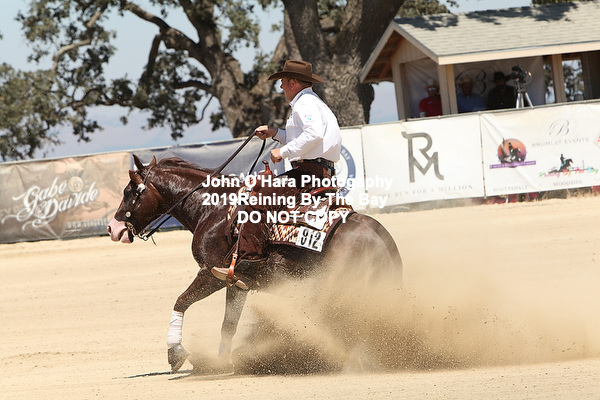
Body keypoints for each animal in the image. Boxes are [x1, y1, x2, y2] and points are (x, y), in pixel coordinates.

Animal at [107, 154, 402, 372]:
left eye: (129, 191)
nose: (113, 228)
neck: (213, 210)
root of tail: (380, 238)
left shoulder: (210, 273)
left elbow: (181, 301)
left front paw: (175, 352)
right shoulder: (236, 282)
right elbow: (228, 324)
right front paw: (222, 362)